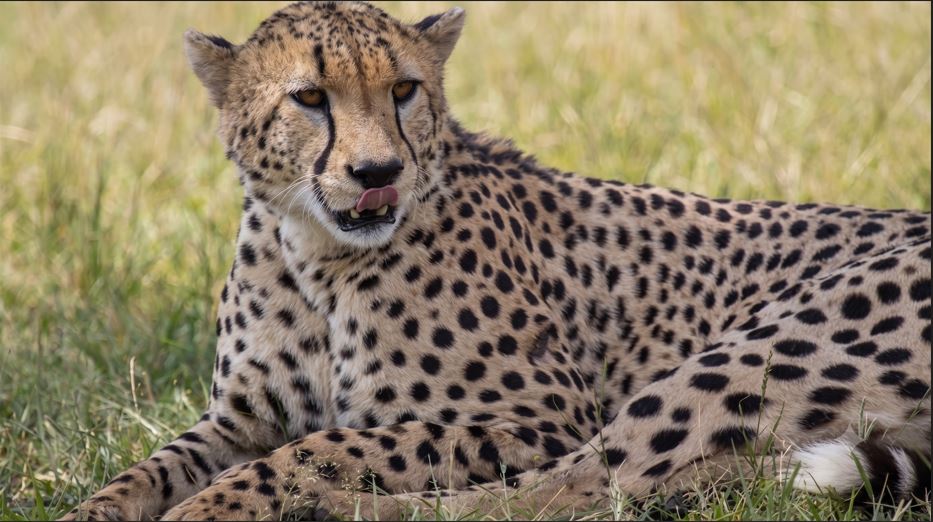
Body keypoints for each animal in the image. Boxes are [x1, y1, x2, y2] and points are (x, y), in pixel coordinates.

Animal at [62, 2, 931, 520]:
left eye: (404, 89)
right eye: (309, 98)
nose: (377, 173)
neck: (318, 257)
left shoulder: (540, 415)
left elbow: (337, 445)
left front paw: (220, 506)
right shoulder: (238, 420)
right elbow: (149, 468)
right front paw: (94, 511)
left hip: (757, 353)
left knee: (577, 491)